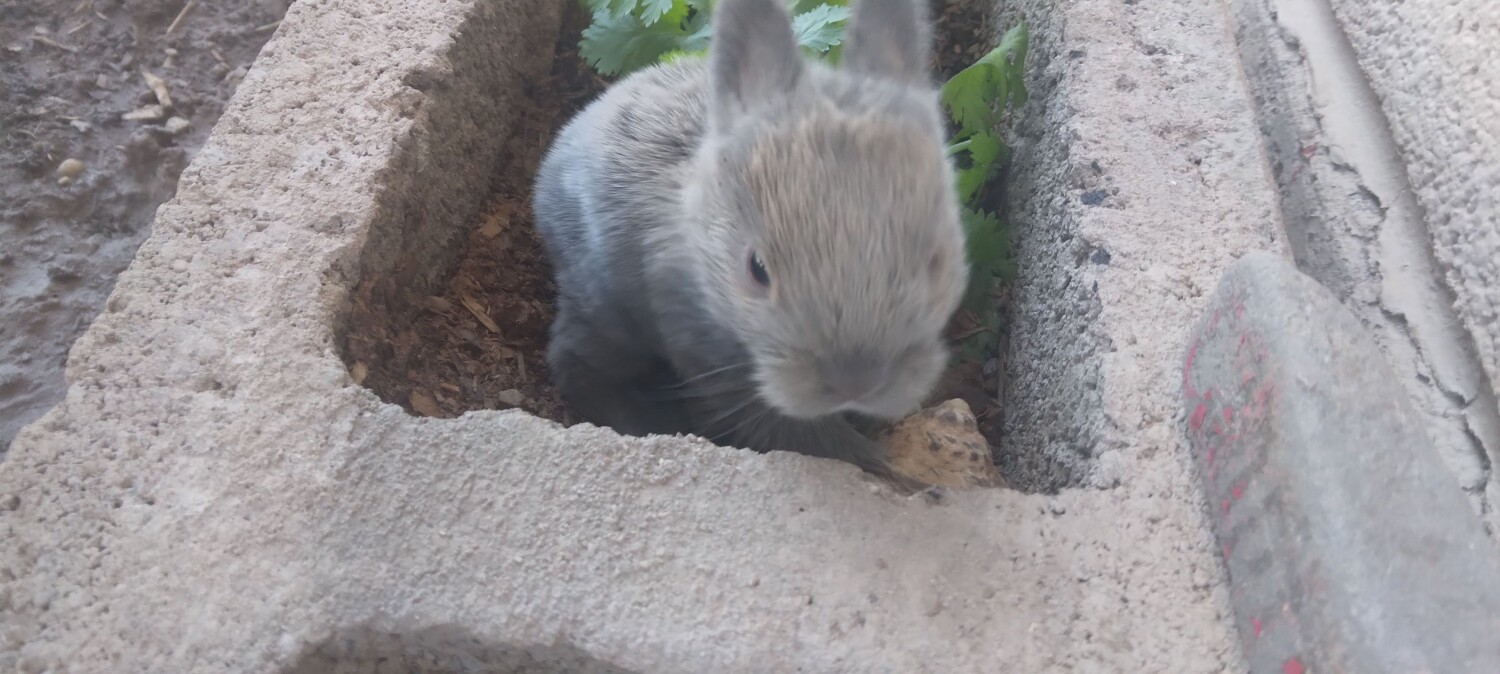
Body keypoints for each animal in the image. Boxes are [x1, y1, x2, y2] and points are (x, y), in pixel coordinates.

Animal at [531, 0, 967, 476]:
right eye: (757, 270)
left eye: (936, 261)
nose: (856, 381)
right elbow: (789, 430)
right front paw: (879, 464)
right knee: (573, 362)